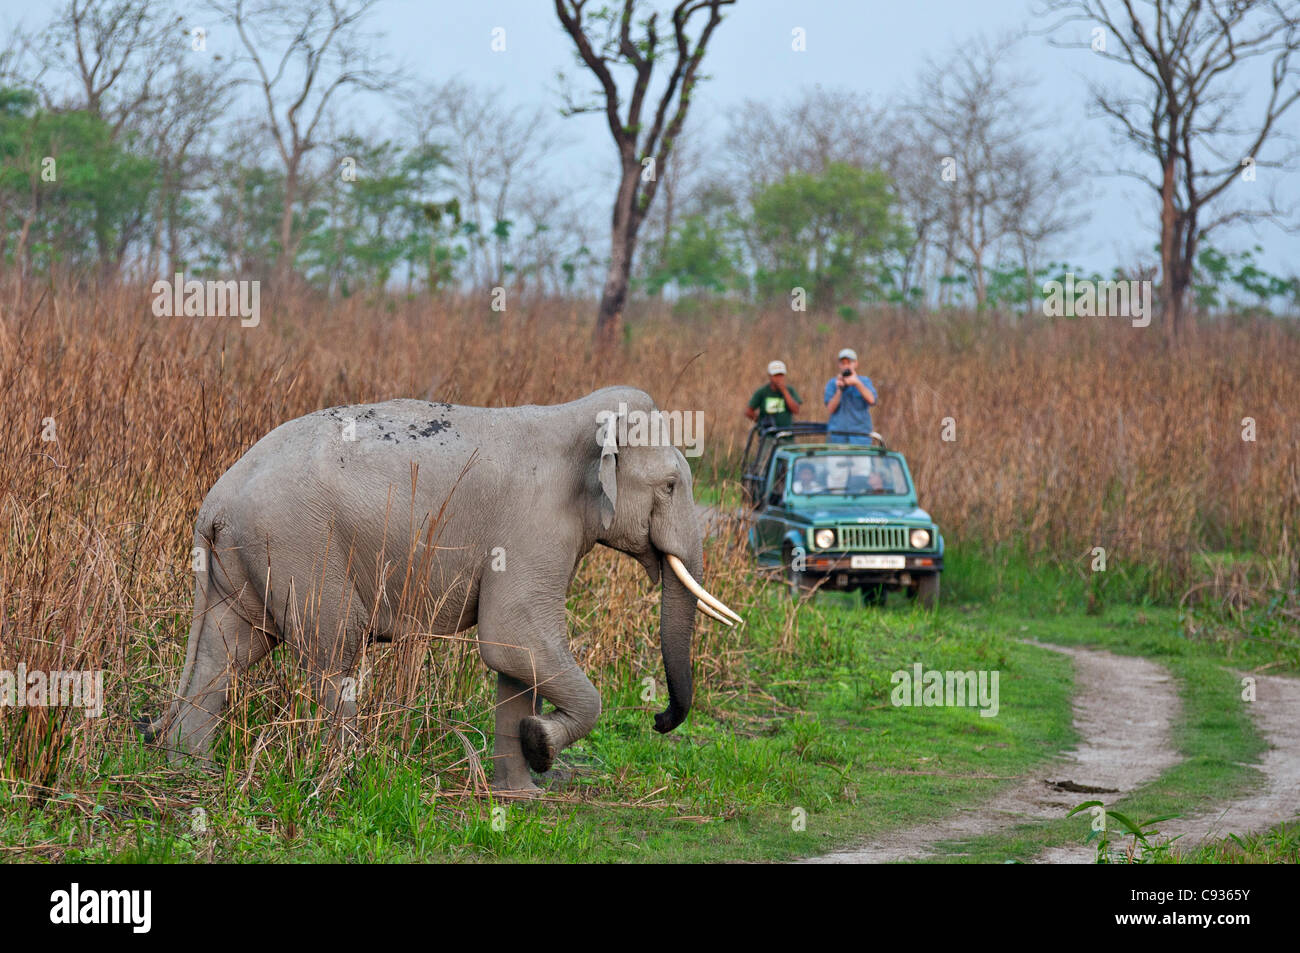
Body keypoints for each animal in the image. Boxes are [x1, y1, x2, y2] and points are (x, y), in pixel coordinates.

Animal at [142, 382, 743, 790]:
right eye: (671, 485)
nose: (660, 719)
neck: (579, 414)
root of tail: (215, 503)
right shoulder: (534, 524)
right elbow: (513, 635)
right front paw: (539, 745)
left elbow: (514, 656)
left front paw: (519, 792)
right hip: (300, 547)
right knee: (335, 652)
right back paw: (347, 777)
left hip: (242, 562)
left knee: (226, 652)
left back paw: (189, 771)